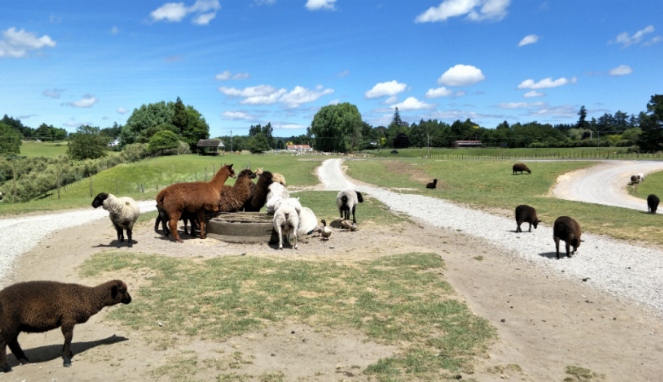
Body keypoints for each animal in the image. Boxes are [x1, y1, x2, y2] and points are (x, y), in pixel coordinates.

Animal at [0, 280, 132, 372]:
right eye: (122, 290)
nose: (130, 299)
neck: (86, 297)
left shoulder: (66, 320)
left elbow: (67, 338)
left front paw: (66, 354)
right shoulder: (68, 318)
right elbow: (68, 338)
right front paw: (67, 360)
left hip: (14, 325)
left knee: (12, 341)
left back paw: (23, 359)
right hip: (9, 322)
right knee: (3, 343)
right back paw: (6, 367)